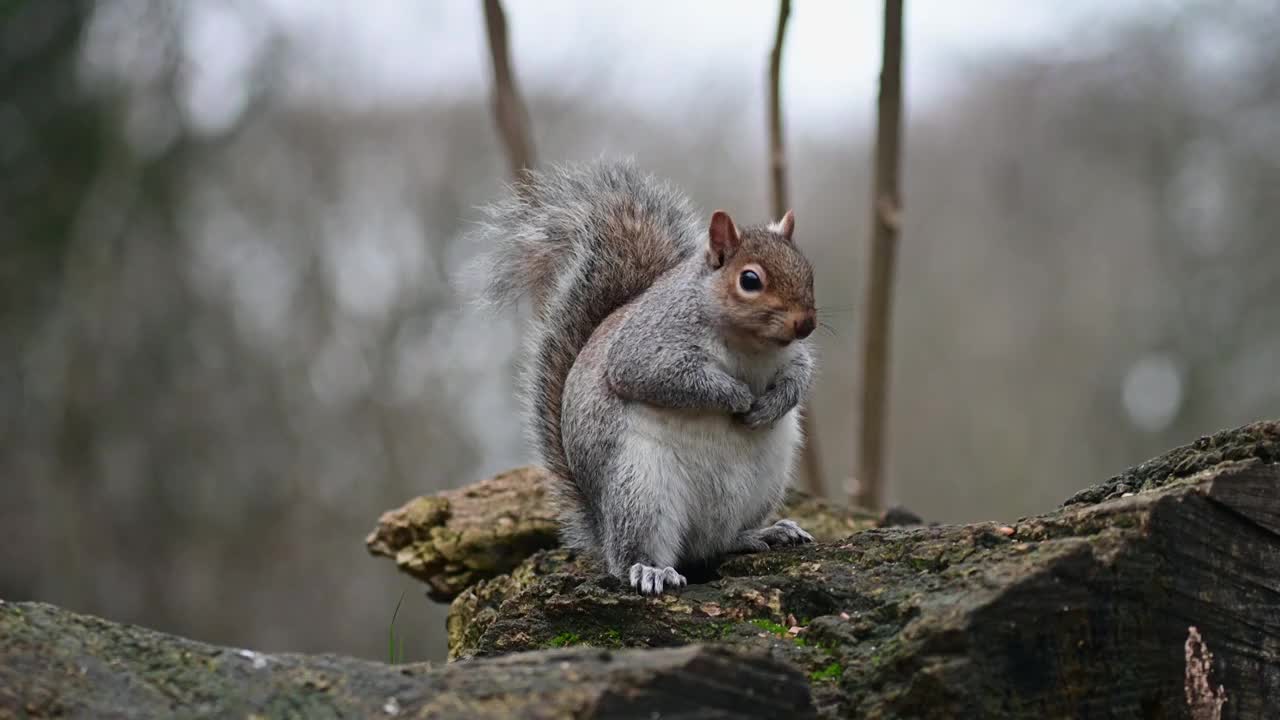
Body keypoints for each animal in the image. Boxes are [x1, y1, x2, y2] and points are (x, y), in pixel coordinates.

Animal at [465, 159, 814, 591]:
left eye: (807, 270)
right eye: (750, 280)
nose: (806, 323)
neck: (751, 347)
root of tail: (602, 529)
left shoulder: (791, 357)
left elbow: (799, 378)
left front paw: (770, 405)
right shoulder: (645, 347)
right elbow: (663, 377)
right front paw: (736, 396)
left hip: (764, 482)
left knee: (721, 542)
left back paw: (763, 533)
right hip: (641, 489)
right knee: (634, 551)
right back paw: (650, 569)